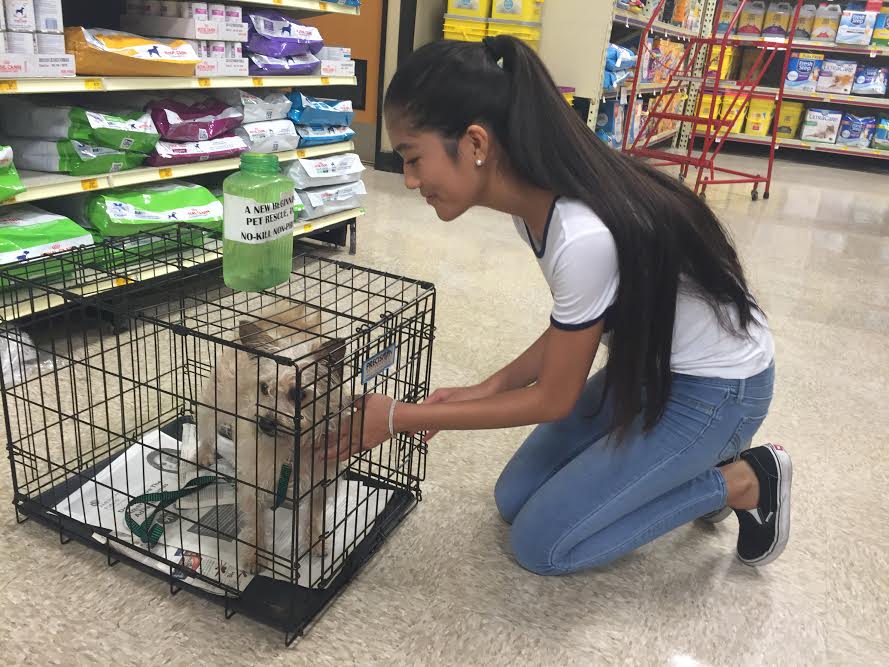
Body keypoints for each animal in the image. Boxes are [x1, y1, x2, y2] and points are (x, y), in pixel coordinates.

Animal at [194, 302, 346, 576]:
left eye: (298, 394)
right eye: (264, 388)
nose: (264, 422)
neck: (290, 447)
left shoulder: (320, 482)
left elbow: (313, 515)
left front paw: (314, 541)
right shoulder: (255, 483)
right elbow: (256, 523)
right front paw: (255, 555)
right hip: (214, 404)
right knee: (207, 432)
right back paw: (203, 454)